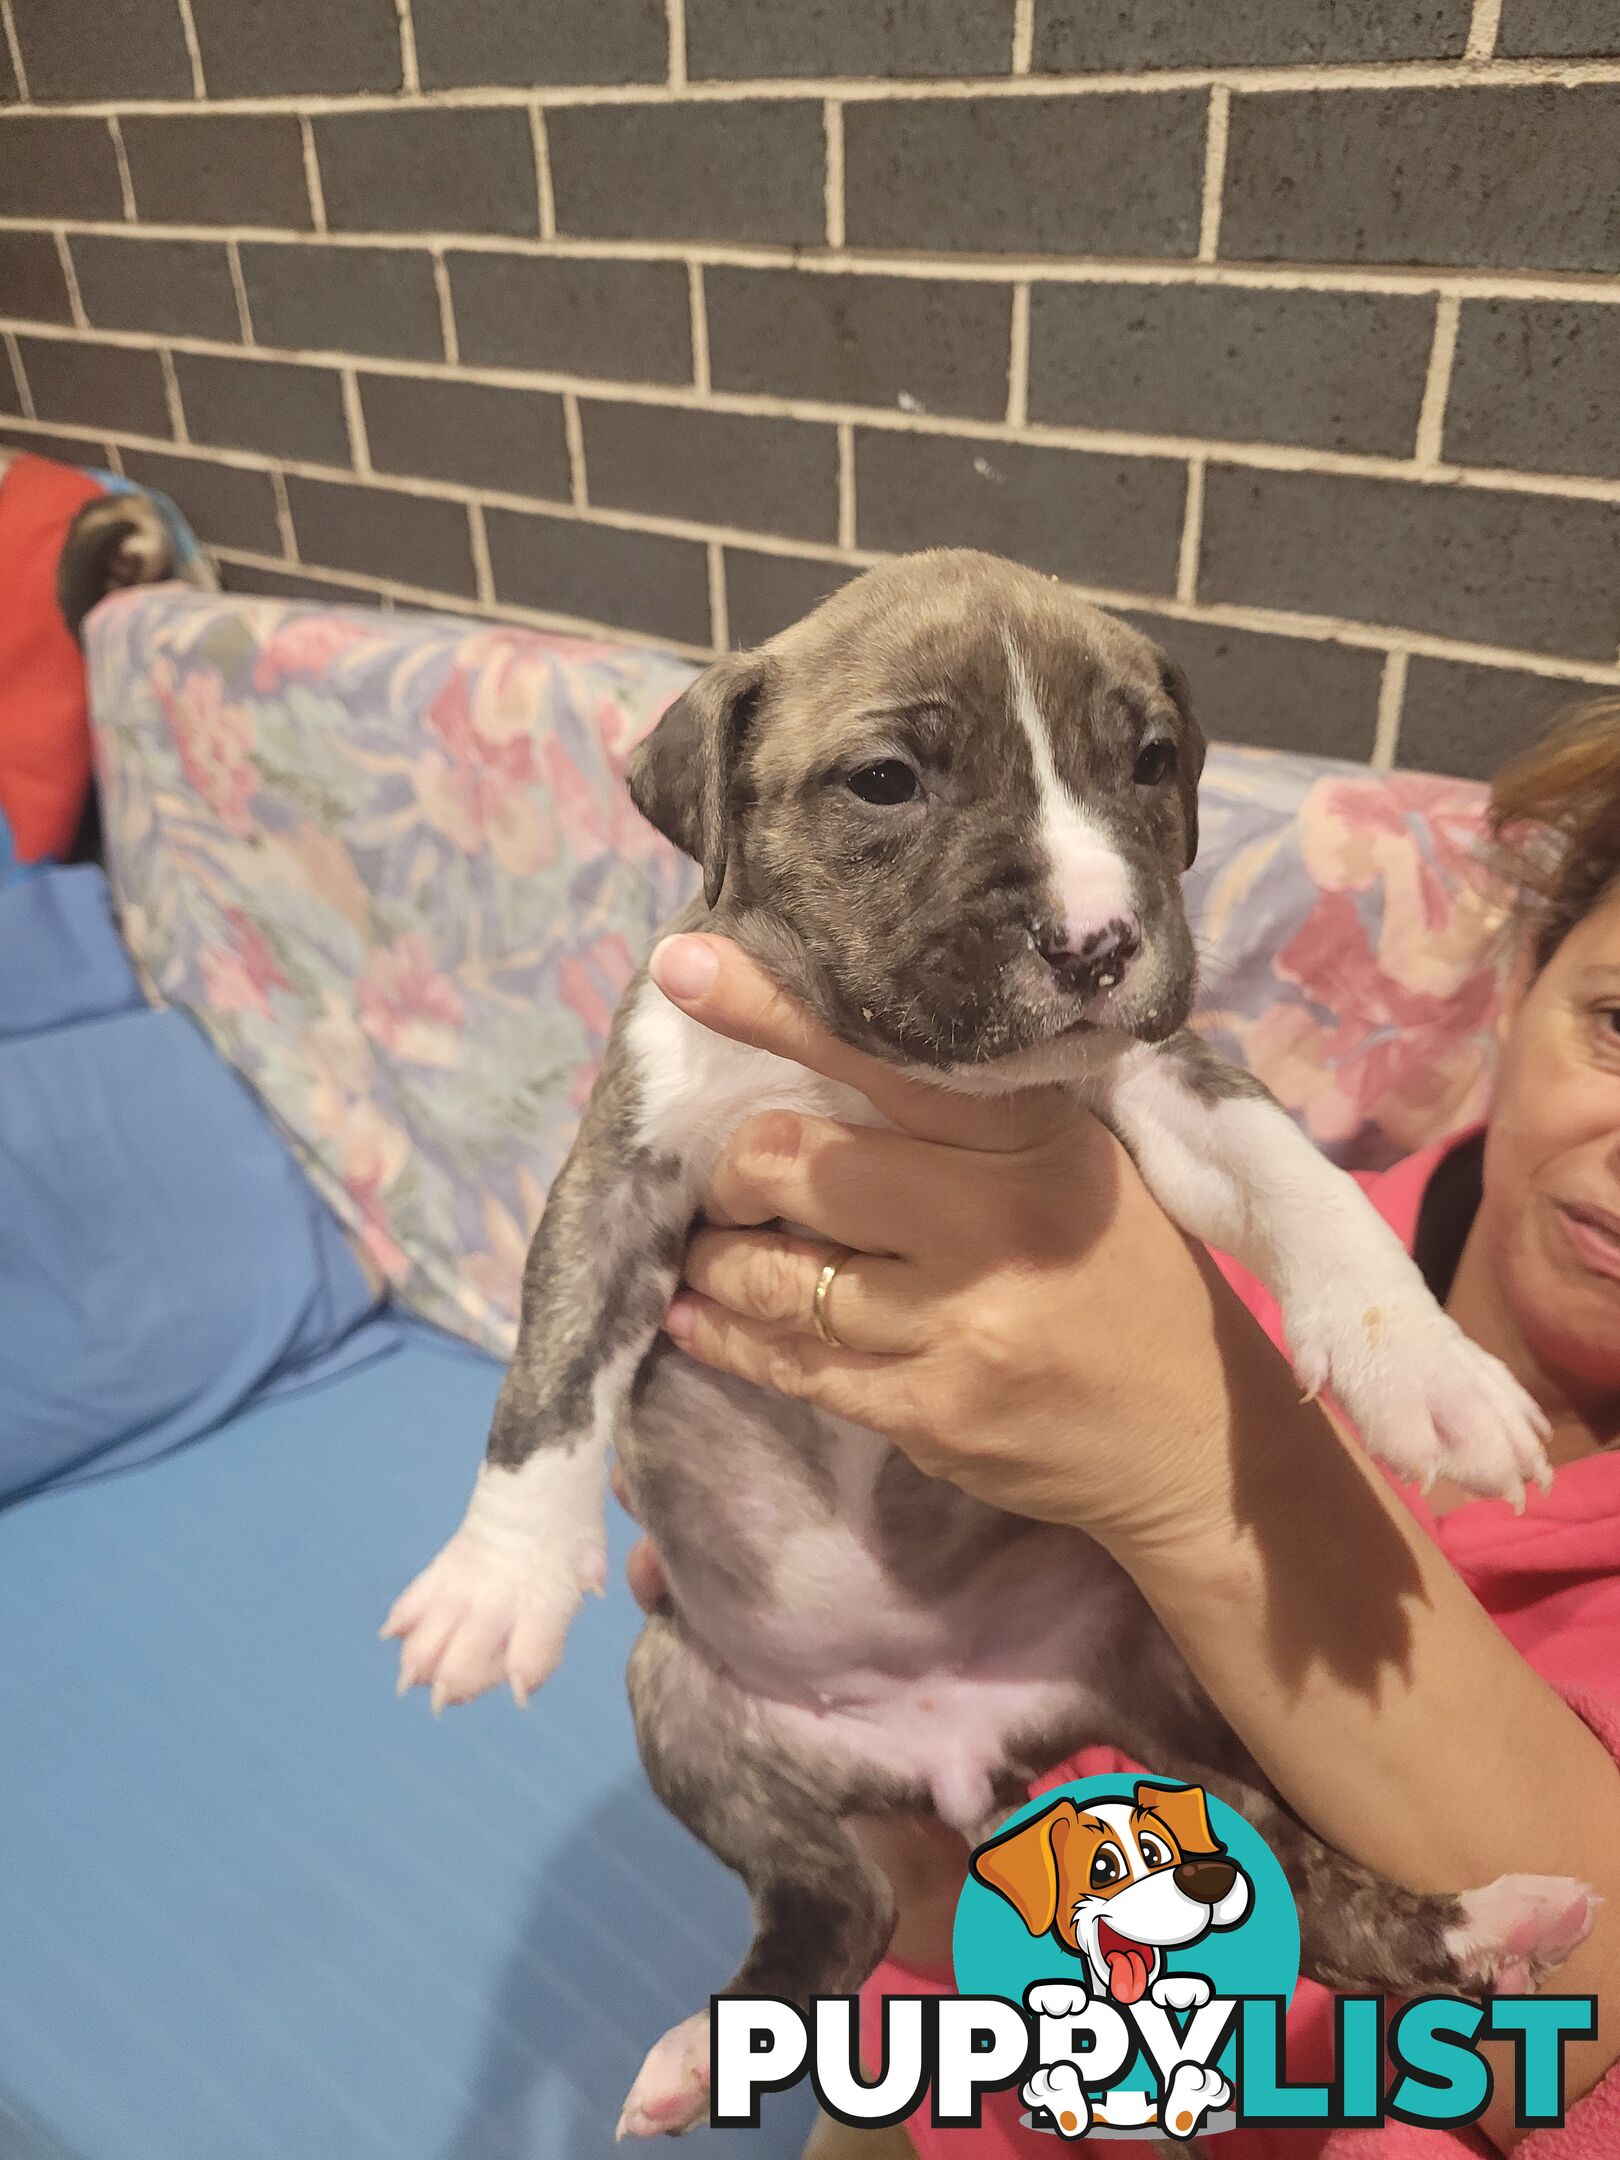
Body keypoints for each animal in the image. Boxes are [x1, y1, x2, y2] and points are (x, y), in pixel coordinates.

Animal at [386, 548, 1589, 2134]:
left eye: (1151, 763)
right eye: (888, 780)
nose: (1098, 941)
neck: (878, 1064)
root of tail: (956, 1755)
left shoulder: (1164, 1080)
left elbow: (1299, 1180)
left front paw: (1428, 1371)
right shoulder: (628, 1161)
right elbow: (555, 1367)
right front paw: (499, 1580)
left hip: (1179, 1699)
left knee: (1315, 1890)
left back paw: (1489, 1922)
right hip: (686, 1704)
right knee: (826, 1904)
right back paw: (710, 2044)